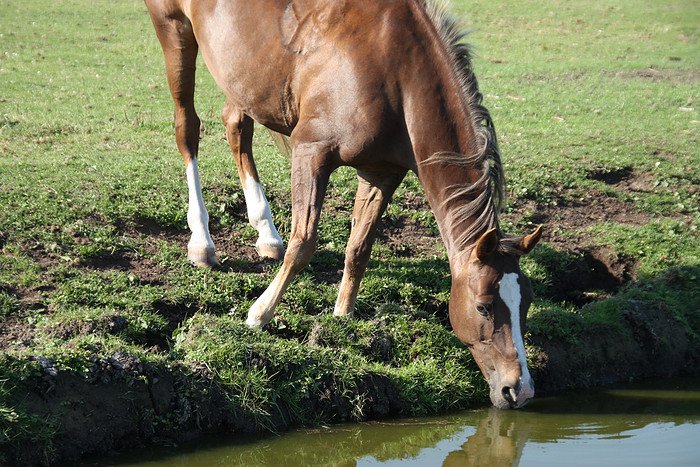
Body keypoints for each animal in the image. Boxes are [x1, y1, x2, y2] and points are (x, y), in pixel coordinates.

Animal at [145, 0, 540, 410]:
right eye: (483, 306)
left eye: (526, 302)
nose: (519, 389)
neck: (396, 75)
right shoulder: (311, 152)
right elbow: (303, 244)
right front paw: (259, 314)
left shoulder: (382, 172)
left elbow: (358, 248)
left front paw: (341, 318)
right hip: (173, 29)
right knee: (187, 127)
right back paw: (202, 241)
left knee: (236, 123)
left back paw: (266, 233)